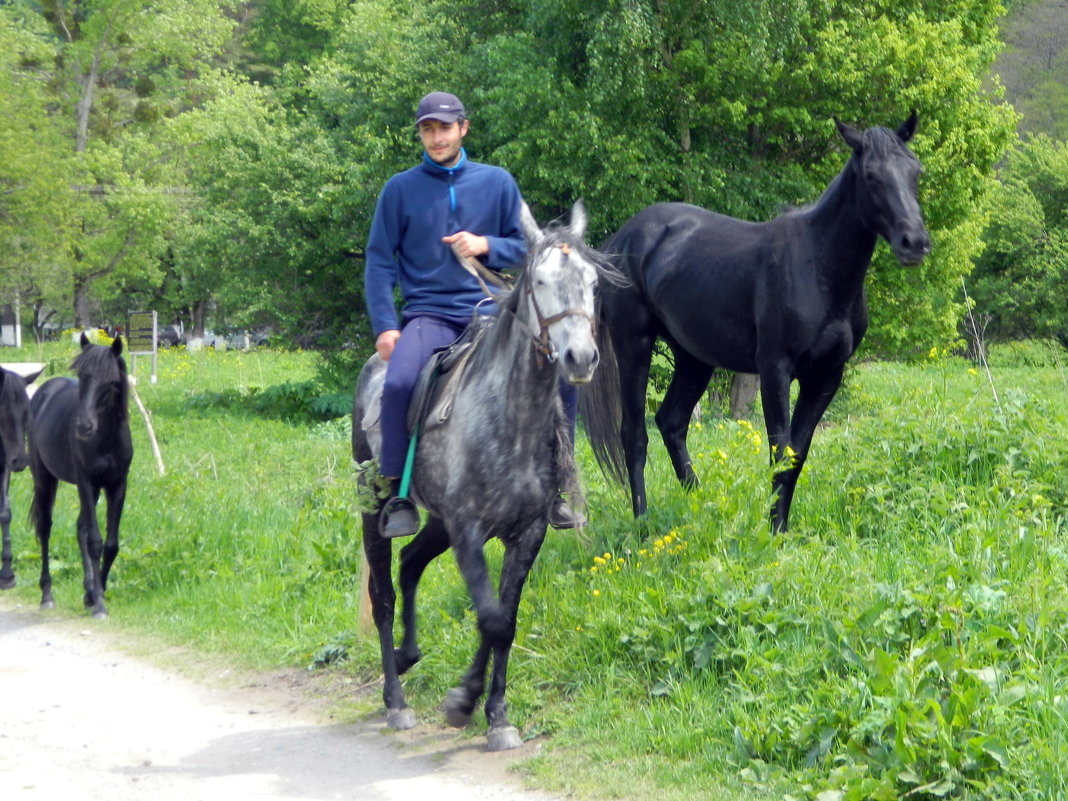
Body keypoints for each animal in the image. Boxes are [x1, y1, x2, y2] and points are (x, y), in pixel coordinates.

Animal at [29, 335, 132, 619]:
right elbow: (95, 542)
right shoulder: (85, 483)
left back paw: (87, 588)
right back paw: (47, 595)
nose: (83, 426)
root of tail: (43, 392)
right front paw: (99, 604)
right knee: (45, 528)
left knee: (80, 529)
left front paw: (95, 592)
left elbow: (110, 544)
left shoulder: (117, 485)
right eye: (82, 376)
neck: (106, 440)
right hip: (44, 479)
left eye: (109, 380)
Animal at [350, 200, 619, 751]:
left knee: (410, 563)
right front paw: (463, 701)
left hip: (437, 522)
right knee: (383, 594)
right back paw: (395, 701)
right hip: (377, 512)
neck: (509, 419)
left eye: (592, 283)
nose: (581, 358)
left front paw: (495, 715)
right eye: (539, 281)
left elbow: (504, 622)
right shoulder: (470, 533)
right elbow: (491, 618)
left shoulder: (526, 534)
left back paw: (408, 657)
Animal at [585, 113, 927, 534]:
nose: (915, 242)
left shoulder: (827, 376)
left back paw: (702, 510)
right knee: (634, 435)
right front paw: (774, 532)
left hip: (694, 358)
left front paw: (782, 529)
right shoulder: (775, 370)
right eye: (871, 175)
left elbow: (796, 456)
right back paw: (643, 522)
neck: (818, 266)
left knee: (671, 422)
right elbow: (780, 453)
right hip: (634, 343)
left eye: (914, 171)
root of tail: (622, 240)